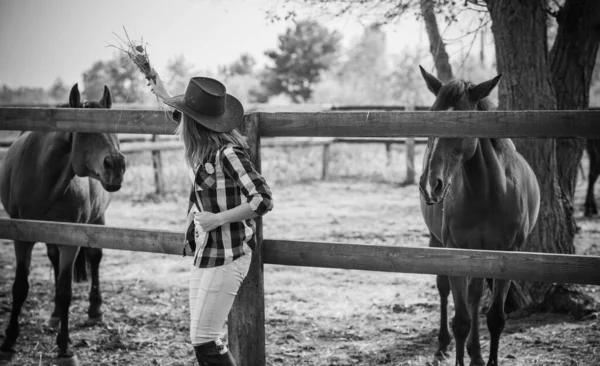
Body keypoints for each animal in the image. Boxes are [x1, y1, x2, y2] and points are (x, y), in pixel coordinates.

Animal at [0, 84, 125, 364]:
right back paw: (55, 316)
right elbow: (20, 288)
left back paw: (94, 310)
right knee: (54, 259)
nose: (117, 166)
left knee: (94, 258)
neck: (43, 177)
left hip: (97, 219)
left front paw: (65, 348)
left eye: (115, 130)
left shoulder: (71, 240)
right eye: (84, 132)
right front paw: (9, 340)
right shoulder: (22, 235)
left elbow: (66, 291)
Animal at [418, 66, 540, 366]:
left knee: (474, 296)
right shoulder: (455, 250)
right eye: (430, 115)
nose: (430, 184)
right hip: (437, 241)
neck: (487, 193)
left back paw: (476, 353)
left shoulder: (509, 254)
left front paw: (487, 357)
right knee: (443, 289)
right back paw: (442, 345)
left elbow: (495, 318)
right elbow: (460, 320)